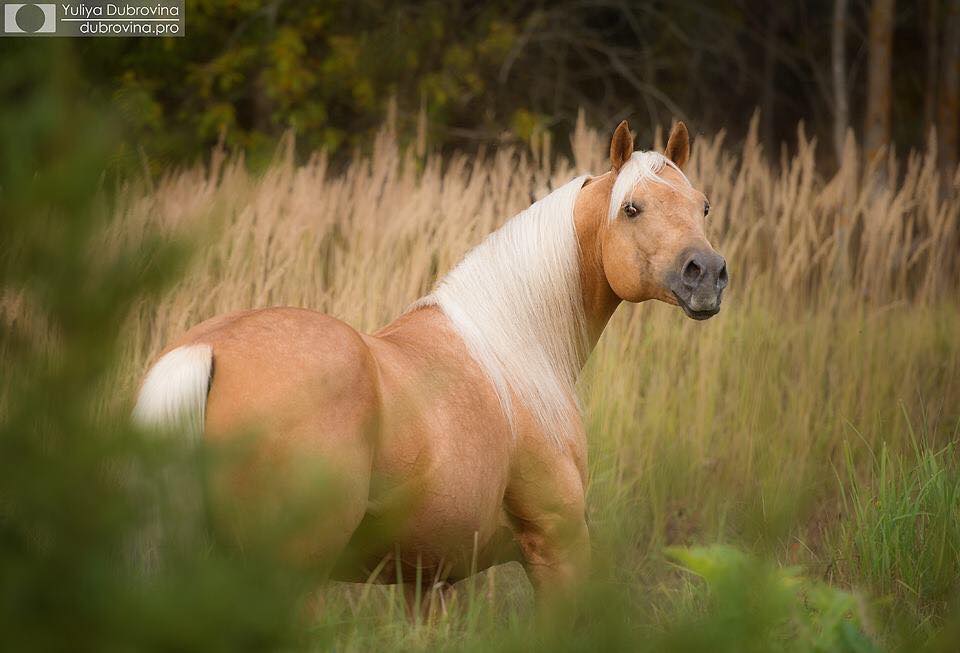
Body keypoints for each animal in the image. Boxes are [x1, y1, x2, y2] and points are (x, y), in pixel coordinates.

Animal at [131, 119, 724, 608]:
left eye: (703, 206)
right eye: (631, 208)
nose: (708, 274)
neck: (518, 349)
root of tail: (206, 351)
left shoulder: (428, 580)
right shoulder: (559, 547)